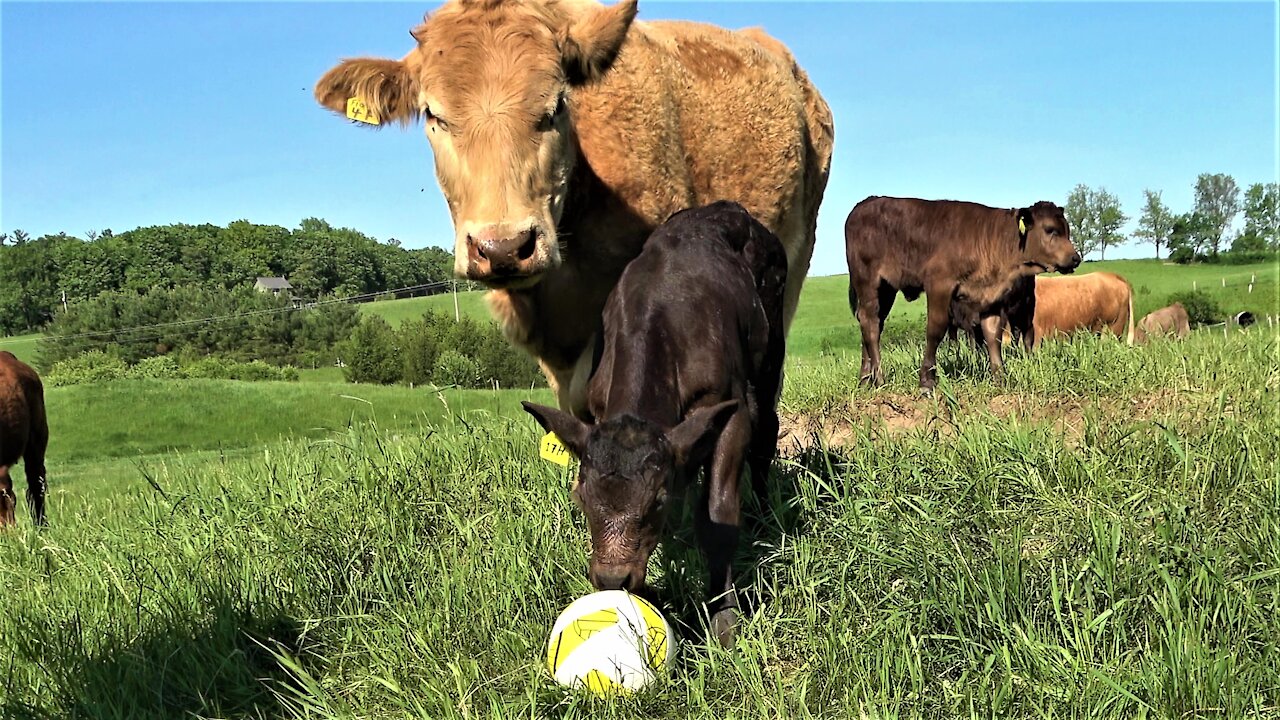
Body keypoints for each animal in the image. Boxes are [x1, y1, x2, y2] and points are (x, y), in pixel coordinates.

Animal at [522, 199, 788, 645]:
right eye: (580, 497)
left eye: (658, 500)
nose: (613, 578)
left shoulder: (730, 409)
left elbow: (717, 515)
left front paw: (724, 621)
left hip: (770, 346)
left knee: (767, 429)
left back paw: (764, 513)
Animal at [844, 194, 1085, 386]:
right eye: (1050, 230)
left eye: (1066, 230)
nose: (1075, 258)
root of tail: (865, 203)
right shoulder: (939, 285)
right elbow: (935, 330)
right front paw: (927, 380)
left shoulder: (991, 299)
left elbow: (993, 335)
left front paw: (1000, 377)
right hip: (868, 282)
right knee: (870, 323)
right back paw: (879, 378)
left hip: (886, 289)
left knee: (872, 323)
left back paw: (865, 378)